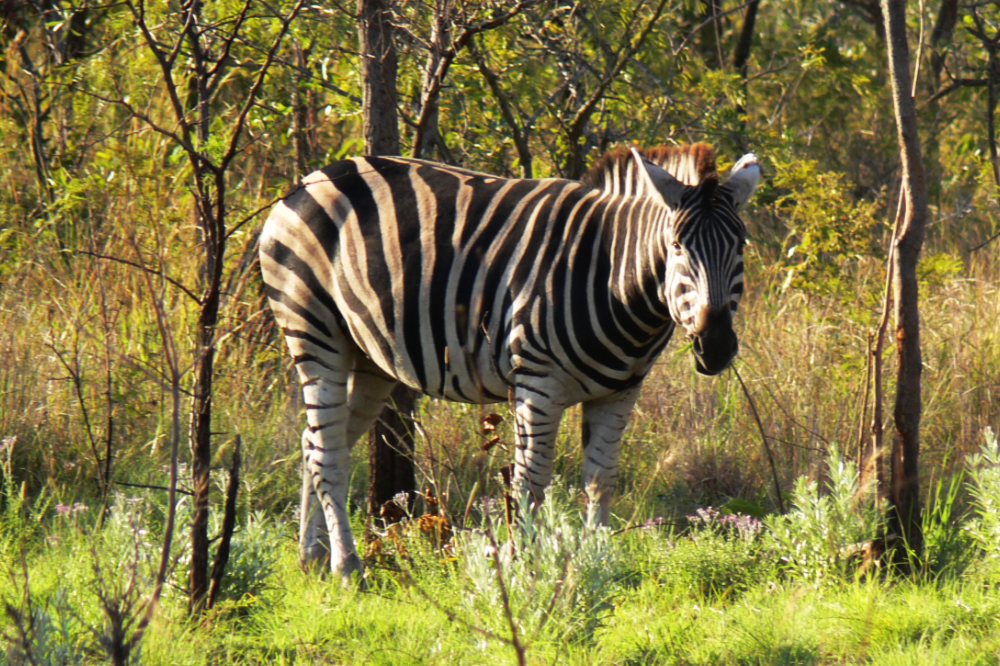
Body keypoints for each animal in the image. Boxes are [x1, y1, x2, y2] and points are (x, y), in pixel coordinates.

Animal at [259, 143, 760, 579]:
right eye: (676, 247)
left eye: (740, 247)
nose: (716, 346)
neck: (613, 278)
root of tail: (309, 179)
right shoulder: (538, 383)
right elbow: (530, 482)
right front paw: (527, 567)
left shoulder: (620, 391)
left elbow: (601, 481)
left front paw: (597, 566)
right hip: (314, 330)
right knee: (328, 452)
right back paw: (347, 568)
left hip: (369, 356)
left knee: (316, 441)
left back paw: (313, 557)